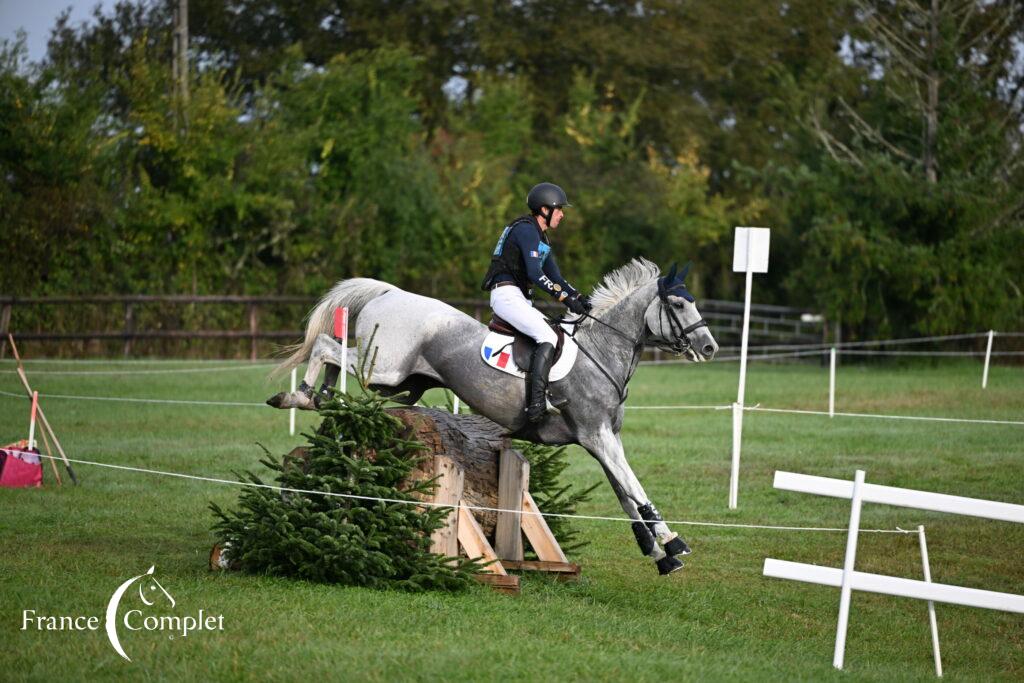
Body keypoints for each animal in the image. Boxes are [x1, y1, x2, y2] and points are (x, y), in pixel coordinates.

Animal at [272, 259, 720, 573]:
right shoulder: (598, 436)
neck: (601, 353)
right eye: (678, 303)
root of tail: (390, 292)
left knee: (335, 350)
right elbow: (634, 486)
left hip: (398, 381)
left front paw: (658, 554)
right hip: (385, 368)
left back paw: (321, 398)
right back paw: (299, 395)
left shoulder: (601, 439)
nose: (710, 347)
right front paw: (673, 541)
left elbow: (626, 494)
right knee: (326, 345)